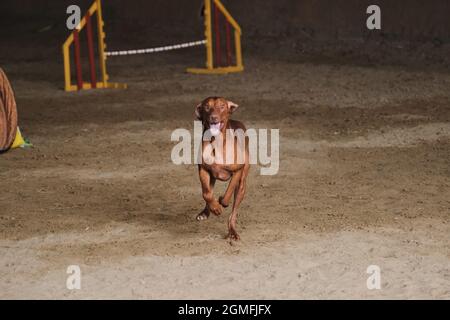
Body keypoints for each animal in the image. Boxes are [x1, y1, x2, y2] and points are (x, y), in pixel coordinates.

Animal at [194, 96, 250, 241]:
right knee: (209, 191)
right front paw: (215, 208)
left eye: (222, 106)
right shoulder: (203, 170)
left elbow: (228, 193)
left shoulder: (237, 171)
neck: (216, 142)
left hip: (242, 185)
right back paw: (206, 211)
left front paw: (222, 202)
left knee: (233, 213)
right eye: (207, 107)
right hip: (212, 178)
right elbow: (207, 194)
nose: (213, 117)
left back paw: (232, 231)